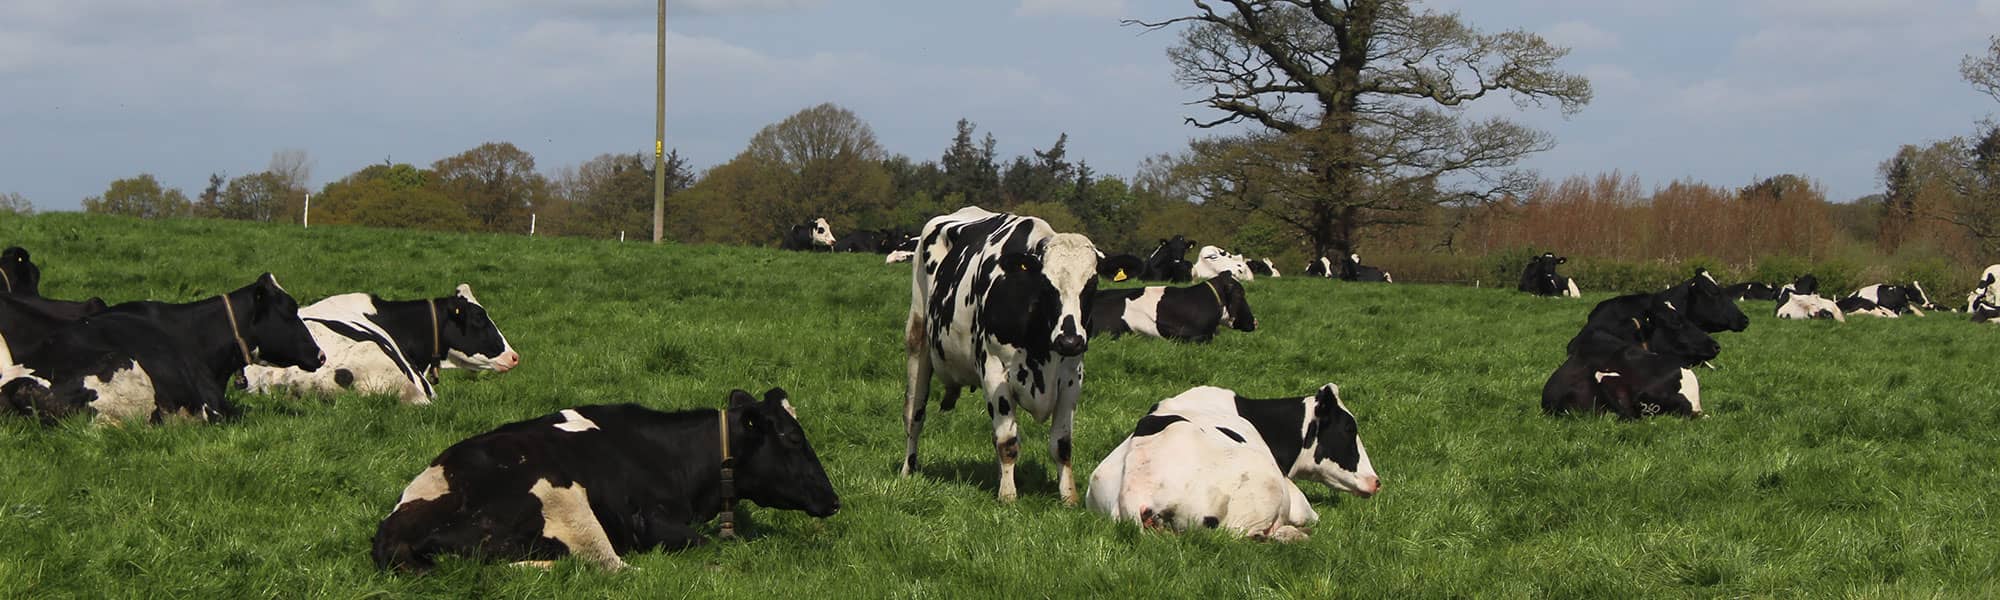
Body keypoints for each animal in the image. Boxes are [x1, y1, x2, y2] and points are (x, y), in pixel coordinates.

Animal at [371, 388, 840, 572]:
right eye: (794, 438)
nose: (833, 500)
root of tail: (392, 530)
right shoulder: (652, 522)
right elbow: (710, 544)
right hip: (566, 501)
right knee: (610, 567)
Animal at [901, 206, 1098, 503]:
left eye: (1092, 284)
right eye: (1046, 284)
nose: (1070, 340)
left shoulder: (1071, 378)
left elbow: (1062, 445)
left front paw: (1069, 498)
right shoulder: (995, 370)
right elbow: (1008, 442)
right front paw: (1008, 495)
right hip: (918, 338)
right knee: (914, 415)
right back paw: (907, 470)